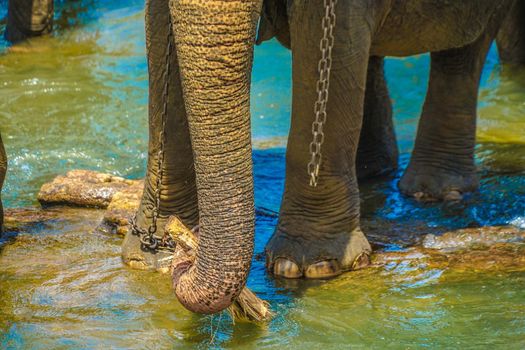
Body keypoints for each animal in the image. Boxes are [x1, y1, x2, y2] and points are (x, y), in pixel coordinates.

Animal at [122, 0, 520, 316]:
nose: (185, 257)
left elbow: (325, 43)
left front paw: (309, 266)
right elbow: (160, 32)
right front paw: (152, 255)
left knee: (464, 51)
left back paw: (435, 192)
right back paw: (374, 173)